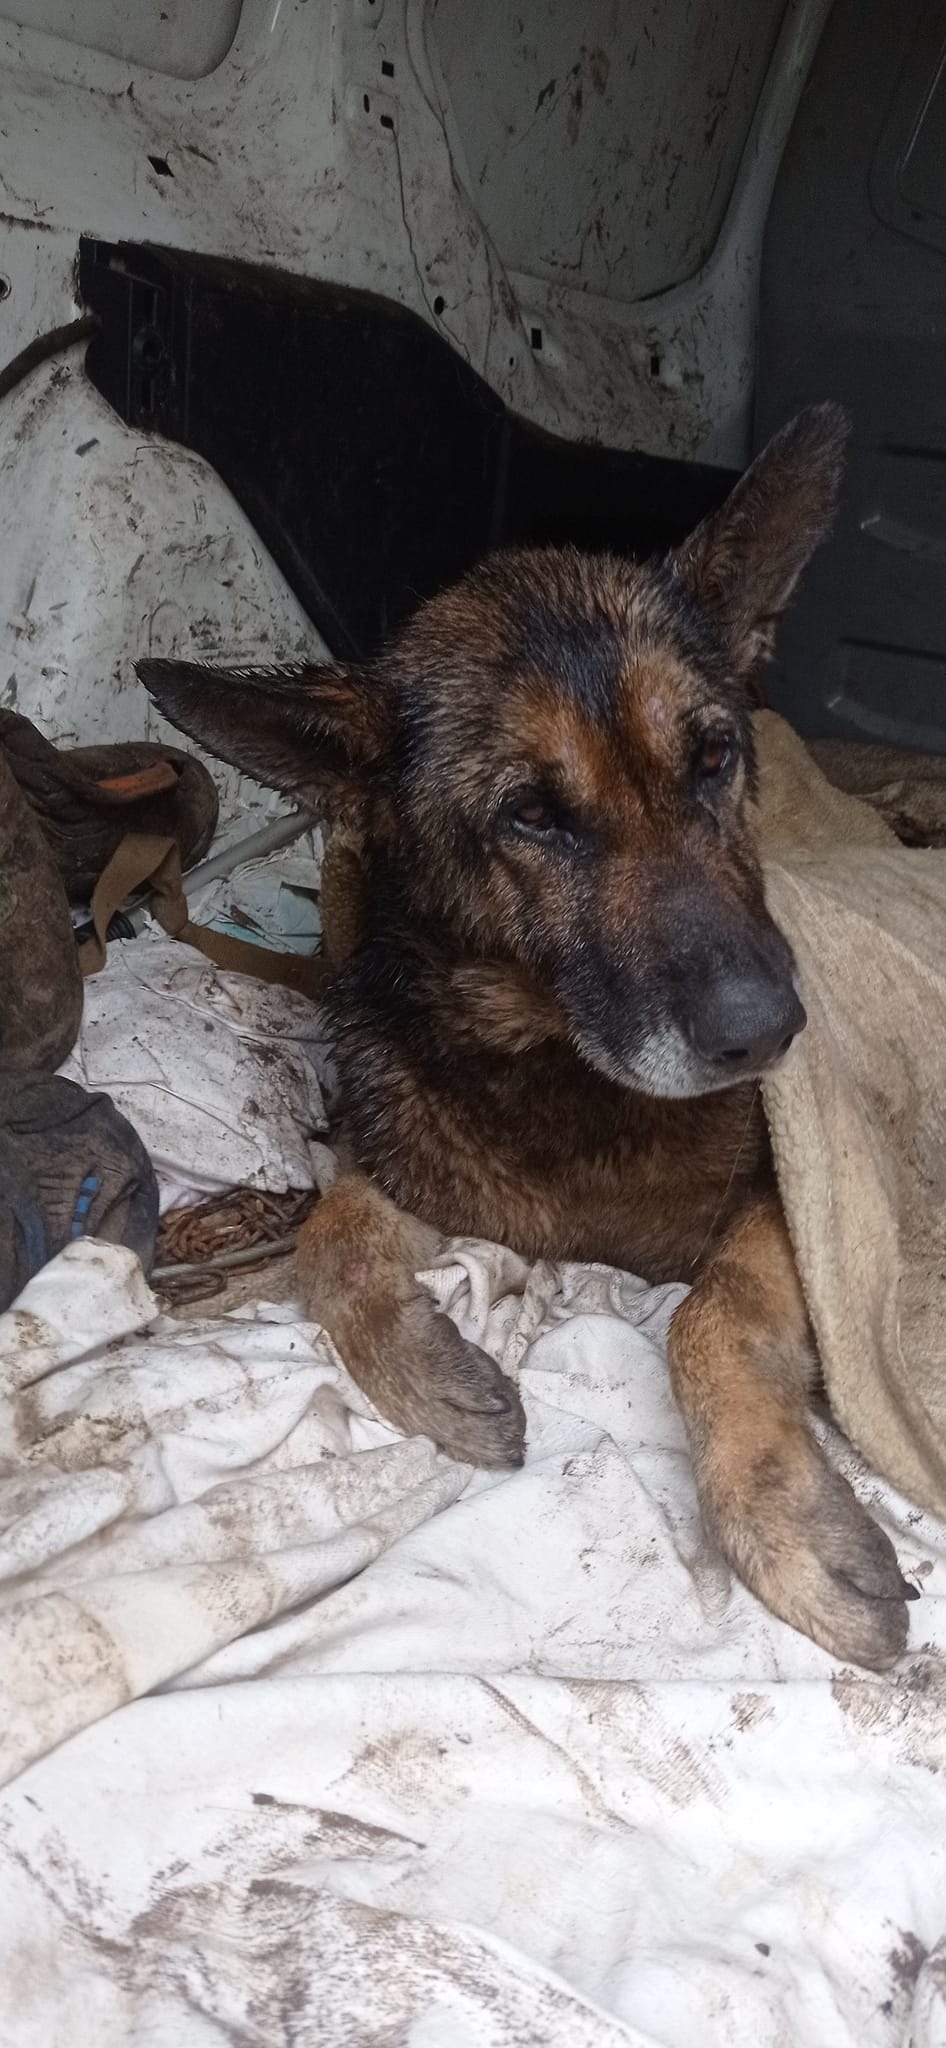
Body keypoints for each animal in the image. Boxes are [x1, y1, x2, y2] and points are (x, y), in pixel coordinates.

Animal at [137, 407, 913, 1671]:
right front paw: (424, 1372)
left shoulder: (784, 1208)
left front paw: (788, 1527)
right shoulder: (426, 1168)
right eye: (532, 815)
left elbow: (705, 1315)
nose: (768, 1032)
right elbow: (331, 1239)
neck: (562, 1077)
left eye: (712, 758)